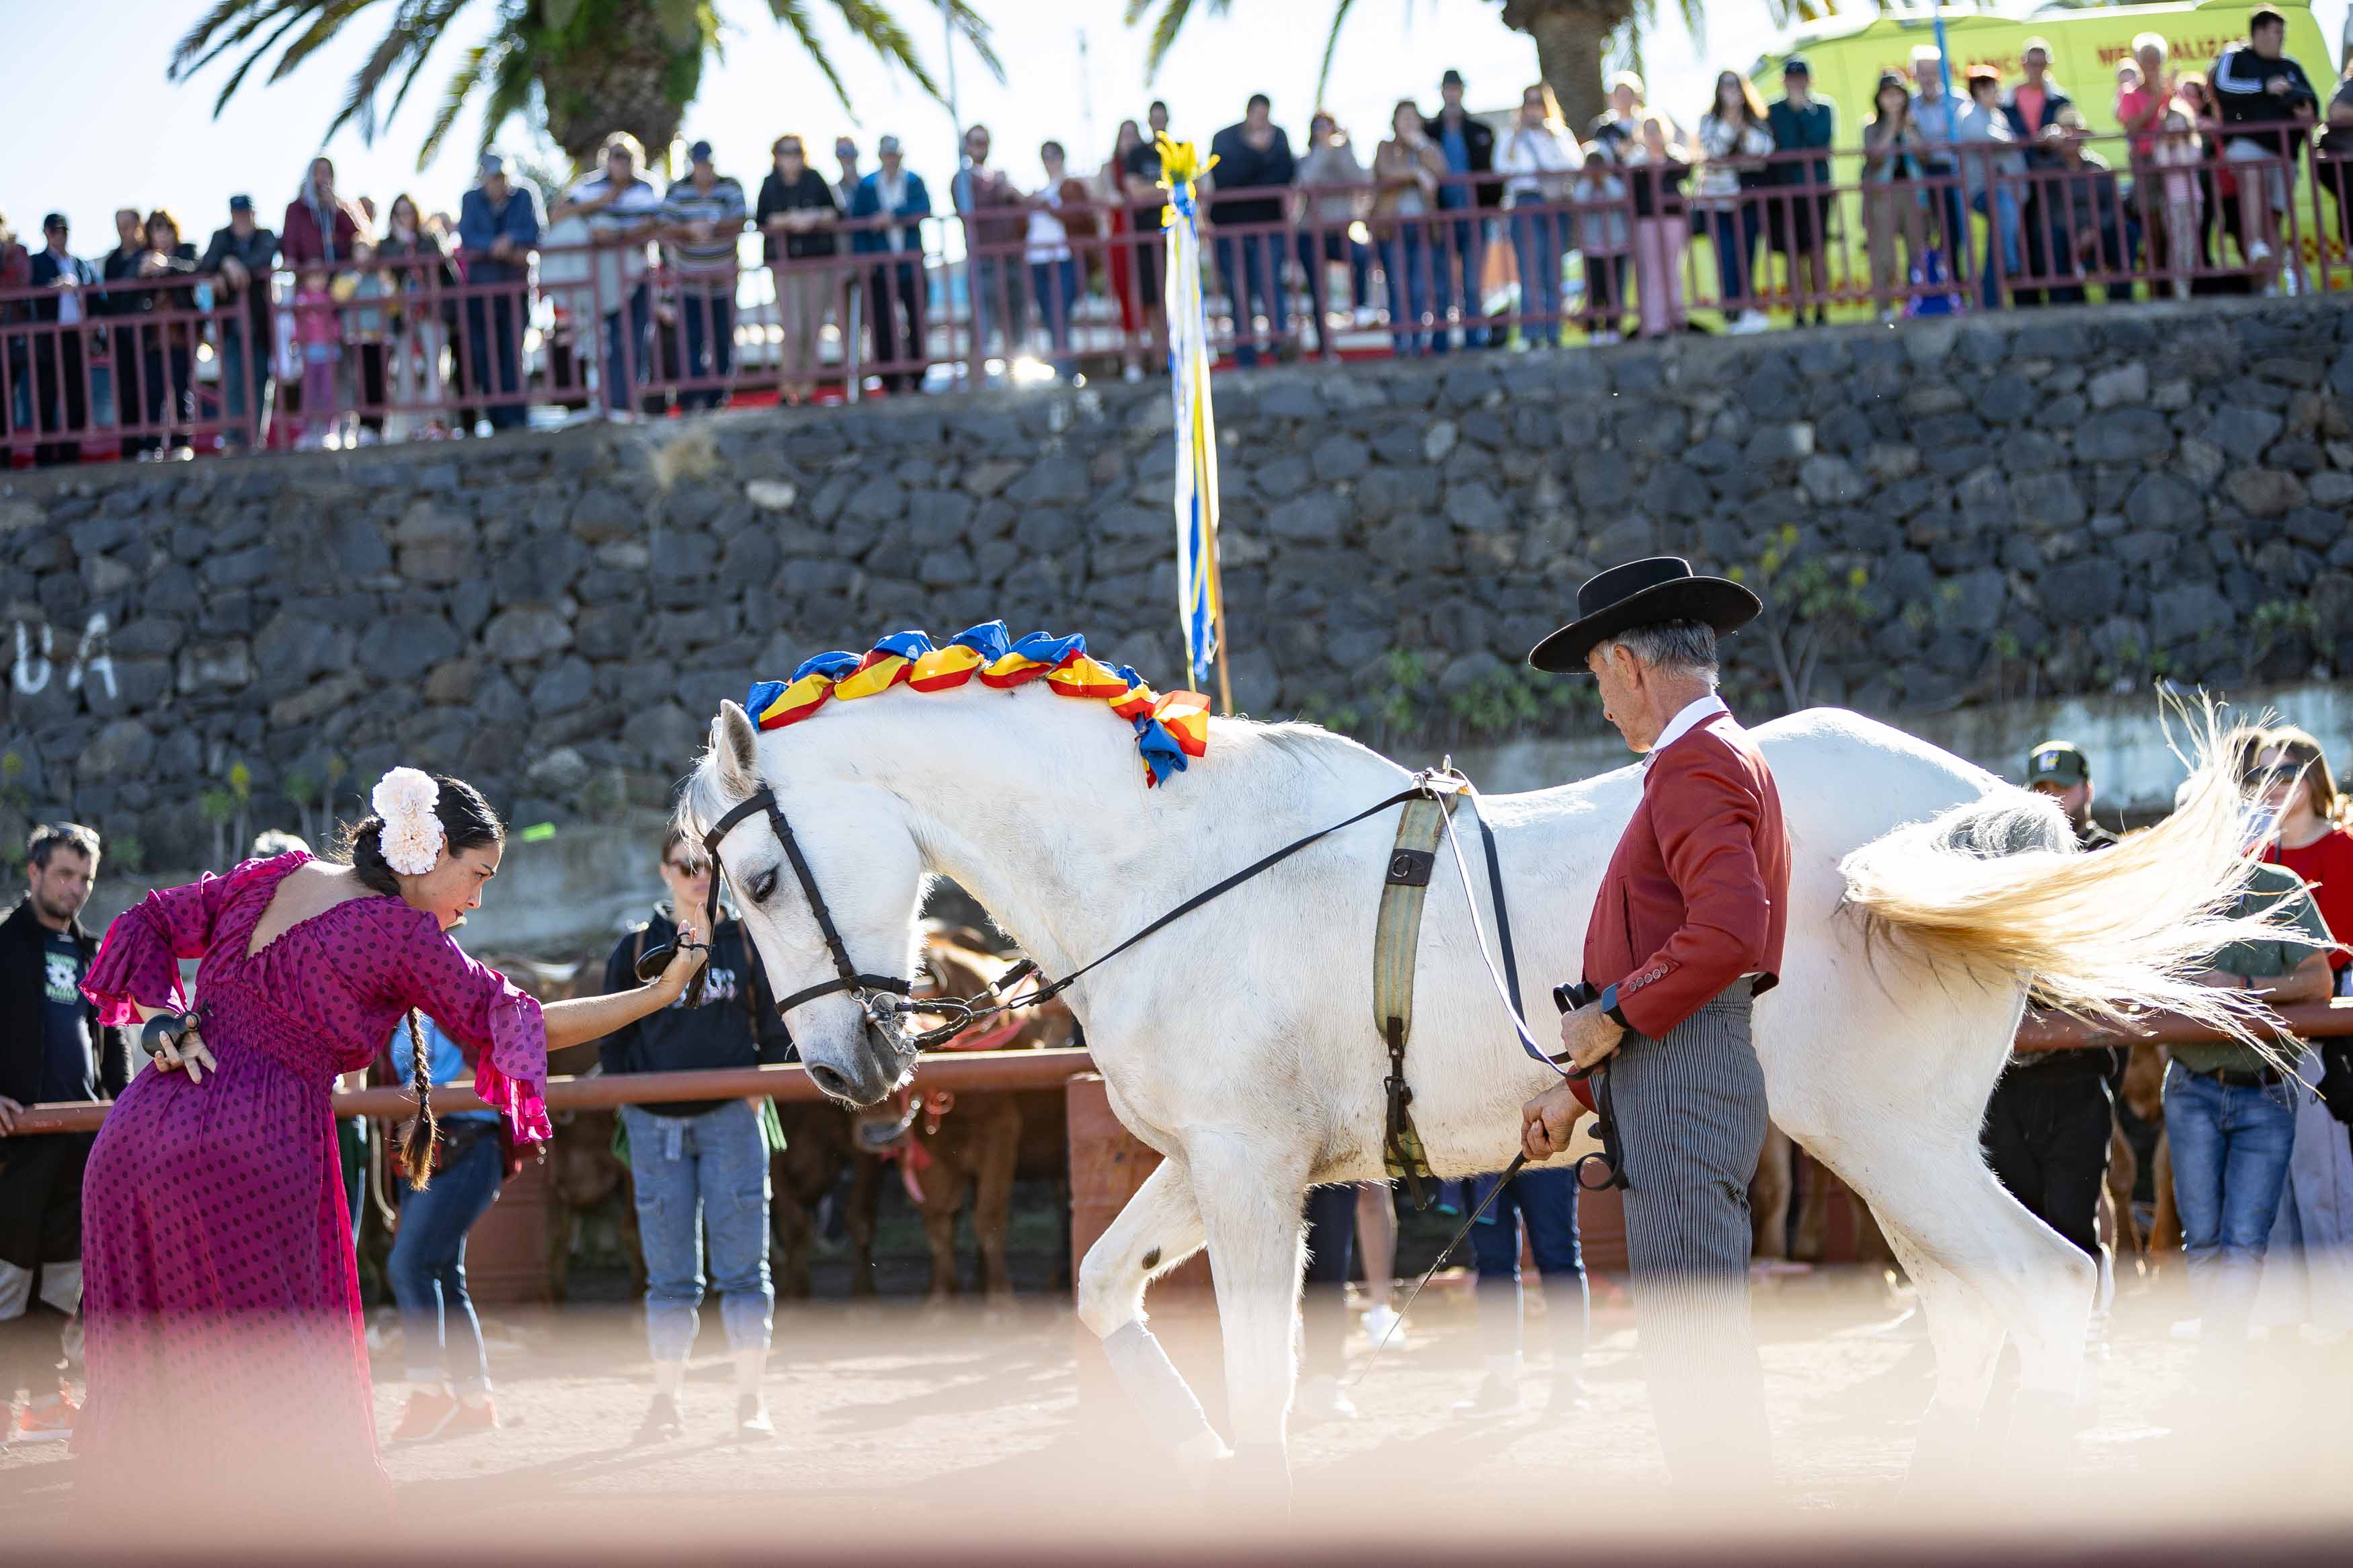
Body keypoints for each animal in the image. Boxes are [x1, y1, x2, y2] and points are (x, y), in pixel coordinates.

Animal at [678, 682, 2278, 1485]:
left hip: (1895, 1141)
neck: (1175, 867)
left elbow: (1264, 1383)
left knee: (2048, 1290)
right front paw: (1188, 1453)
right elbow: (1099, 1289)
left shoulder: (1251, 1179)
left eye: (756, 879)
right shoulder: (1208, 1165)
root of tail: (1981, 814)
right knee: (1972, 1313)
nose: (851, 1070)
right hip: (1891, 1151)